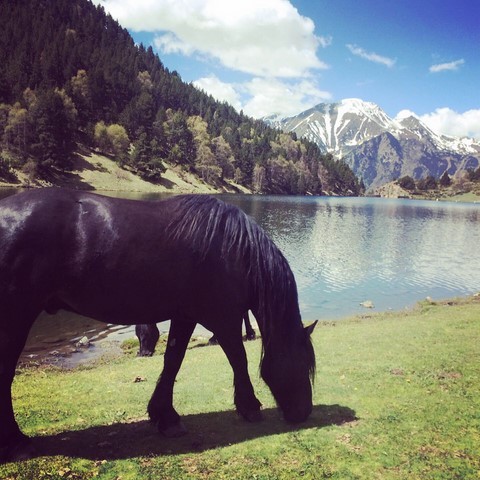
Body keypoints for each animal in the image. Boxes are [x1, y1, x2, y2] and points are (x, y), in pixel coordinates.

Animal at [0, 188, 316, 462]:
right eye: (303, 363)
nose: (304, 413)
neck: (235, 251)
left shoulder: (186, 316)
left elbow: (173, 361)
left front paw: (166, 417)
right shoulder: (223, 318)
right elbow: (239, 359)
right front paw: (250, 407)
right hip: (16, 315)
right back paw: (16, 443)